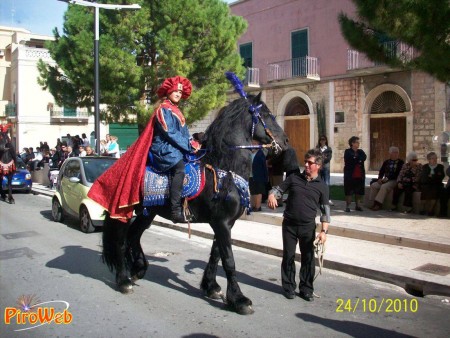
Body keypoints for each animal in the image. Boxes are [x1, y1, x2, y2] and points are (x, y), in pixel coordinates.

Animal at [103, 93, 288, 314]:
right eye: (266, 115)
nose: (285, 141)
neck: (224, 168)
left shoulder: (225, 223)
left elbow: (216, 254)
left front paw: (211, 286)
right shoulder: (222, 223)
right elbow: (228, 260)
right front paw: (239, 300)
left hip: (148, 213)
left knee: (134, 235)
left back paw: (138, 268)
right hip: (126, 211)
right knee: (121, 240)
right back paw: (124, 280)